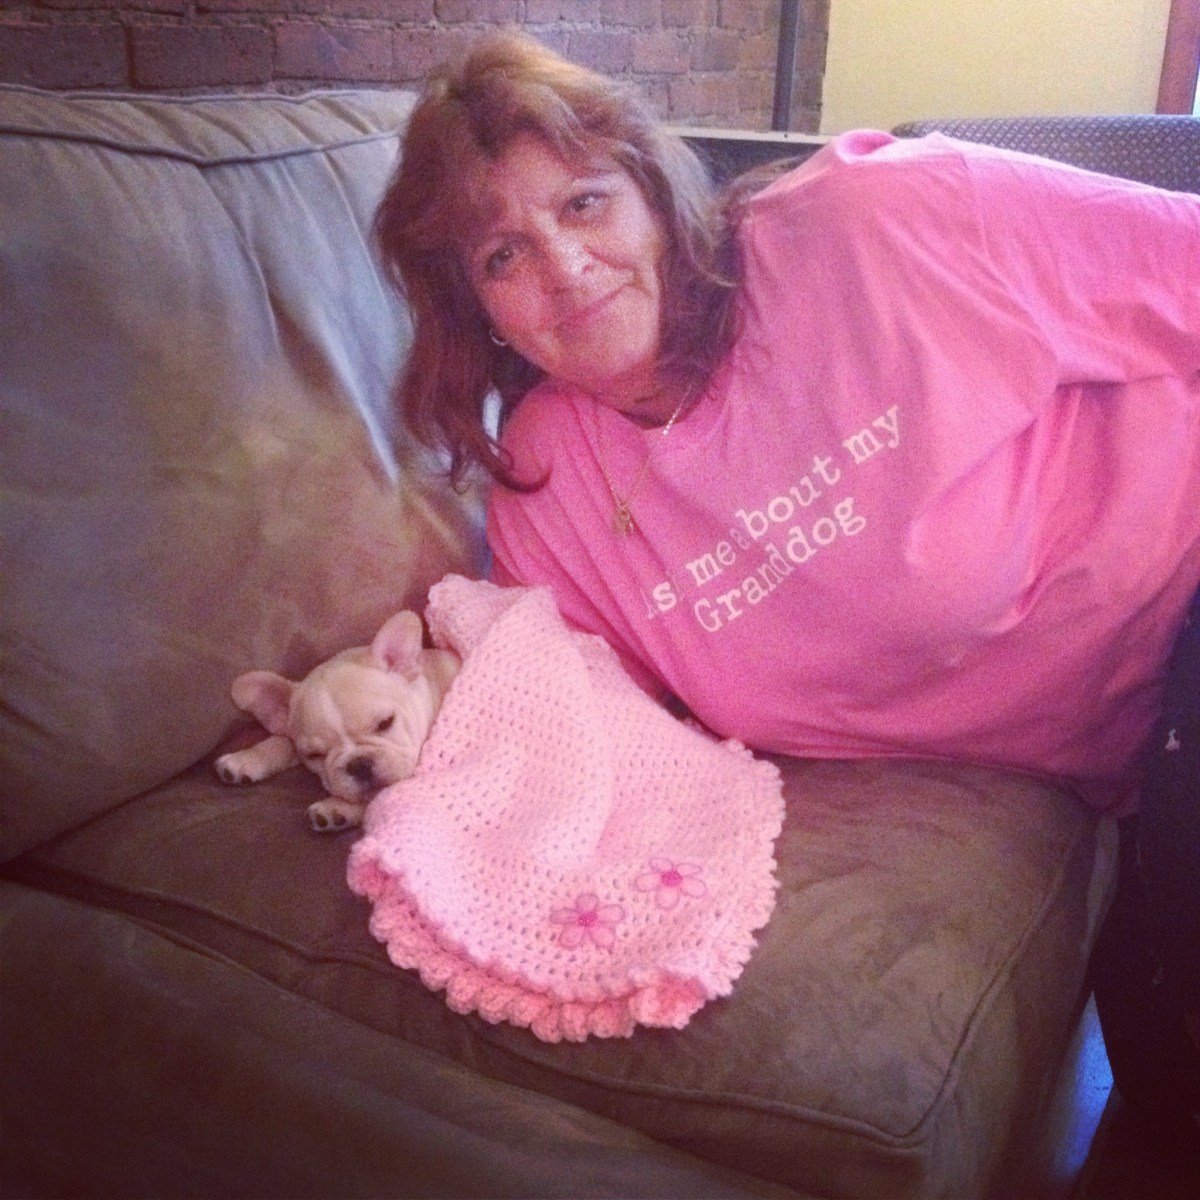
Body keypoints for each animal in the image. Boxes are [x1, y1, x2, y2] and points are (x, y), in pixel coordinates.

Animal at [215, 610, 459, 831]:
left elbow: (380, 795)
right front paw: (245, 758)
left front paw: (336, 808)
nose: (359, 764)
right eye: (314, 755)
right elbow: (281, 742)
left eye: (385, 722)